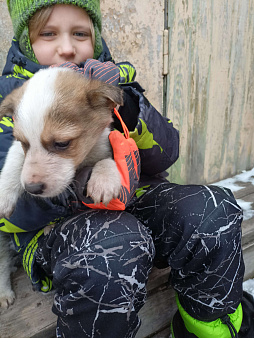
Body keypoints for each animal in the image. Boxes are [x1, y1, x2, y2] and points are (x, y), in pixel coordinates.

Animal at [0, 67, 124, 308]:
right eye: (24, 143)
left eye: (62, 143)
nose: (32, 188)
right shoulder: (18, 152)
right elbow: (13, 163)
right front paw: (3, 195)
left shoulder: (105, 145)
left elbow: (107, 160)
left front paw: (104, 180)